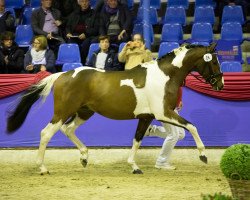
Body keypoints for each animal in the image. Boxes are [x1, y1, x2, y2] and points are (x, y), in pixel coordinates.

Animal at [6, 43, 224, 174]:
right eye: (213, 61)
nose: (220, 85)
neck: (165, 76)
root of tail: (62, 75)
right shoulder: (164, 113)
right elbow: (192, 126)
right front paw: (203, 155)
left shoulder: (147, 117)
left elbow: (137, 139)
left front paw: (134, 167)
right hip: (62, 112)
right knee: (46, 133)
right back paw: (43, 168)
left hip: (84, 112)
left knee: (68, 129)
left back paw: (84, 157)